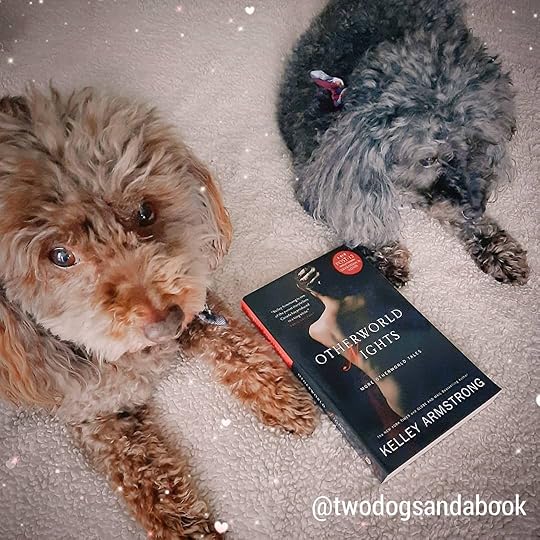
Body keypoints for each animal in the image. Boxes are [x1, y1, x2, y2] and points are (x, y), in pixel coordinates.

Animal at [0, 88, 316, 540]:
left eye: (145, 212)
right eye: (60, 256)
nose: (165, 322)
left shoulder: (196, 297)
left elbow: (237, 344)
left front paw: (281, 396)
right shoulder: (96, 415)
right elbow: (153, 485)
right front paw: (193, 530)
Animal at [278, 0, 528, 286]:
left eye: (476, 143)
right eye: (428, 159)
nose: (477, 208)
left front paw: (496, 248)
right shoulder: (319, 183)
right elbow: (358, 216)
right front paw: (384, 255)